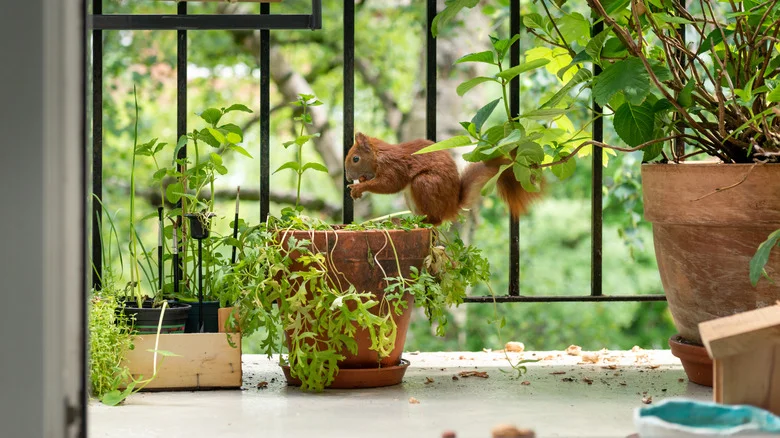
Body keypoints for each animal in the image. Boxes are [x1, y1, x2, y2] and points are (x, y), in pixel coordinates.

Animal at [344, 132, 539, 225]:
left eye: (355, 159)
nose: (347, 177)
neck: (379, 156)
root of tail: (452, 206)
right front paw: (361, 183)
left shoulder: (395, 166)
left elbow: (390, 184)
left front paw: (359, 188)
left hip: (424, 183)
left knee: (436, 220)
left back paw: (423, 222)